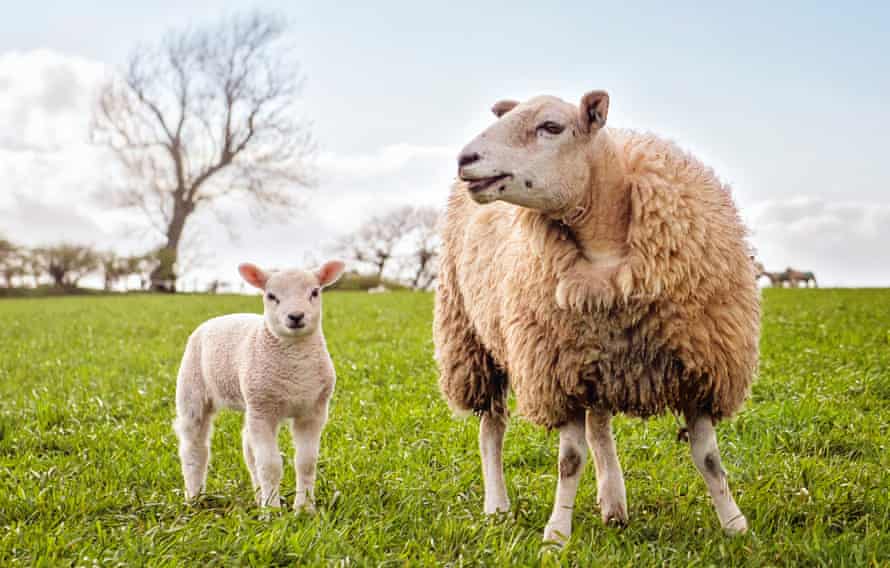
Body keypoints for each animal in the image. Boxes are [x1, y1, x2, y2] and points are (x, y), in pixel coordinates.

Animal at [173, 260, 344, 510]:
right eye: (271, 296)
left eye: (315, 292)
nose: (295, 316)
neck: (296, 370)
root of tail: (219, 318)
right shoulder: (264, 412)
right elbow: (270, 465)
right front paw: (272, 511)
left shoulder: (314, 411)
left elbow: (306, 463)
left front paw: (304, 509)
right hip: (192, 388)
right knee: (194, 447)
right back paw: (194, 496)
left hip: (252, 402)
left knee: (248, 448)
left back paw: (257, 496)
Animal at [430, 91, 756, 544]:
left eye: (551, 126)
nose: (465, 159)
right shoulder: (556, 371)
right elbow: (569, 460)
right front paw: (556, 535)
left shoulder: (701, 368)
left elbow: (708, 458)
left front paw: (736, 525)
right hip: (474, 343)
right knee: (491, 427)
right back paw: (497, 506)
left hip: (596, 358)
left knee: (599, 426)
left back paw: (614, 505)